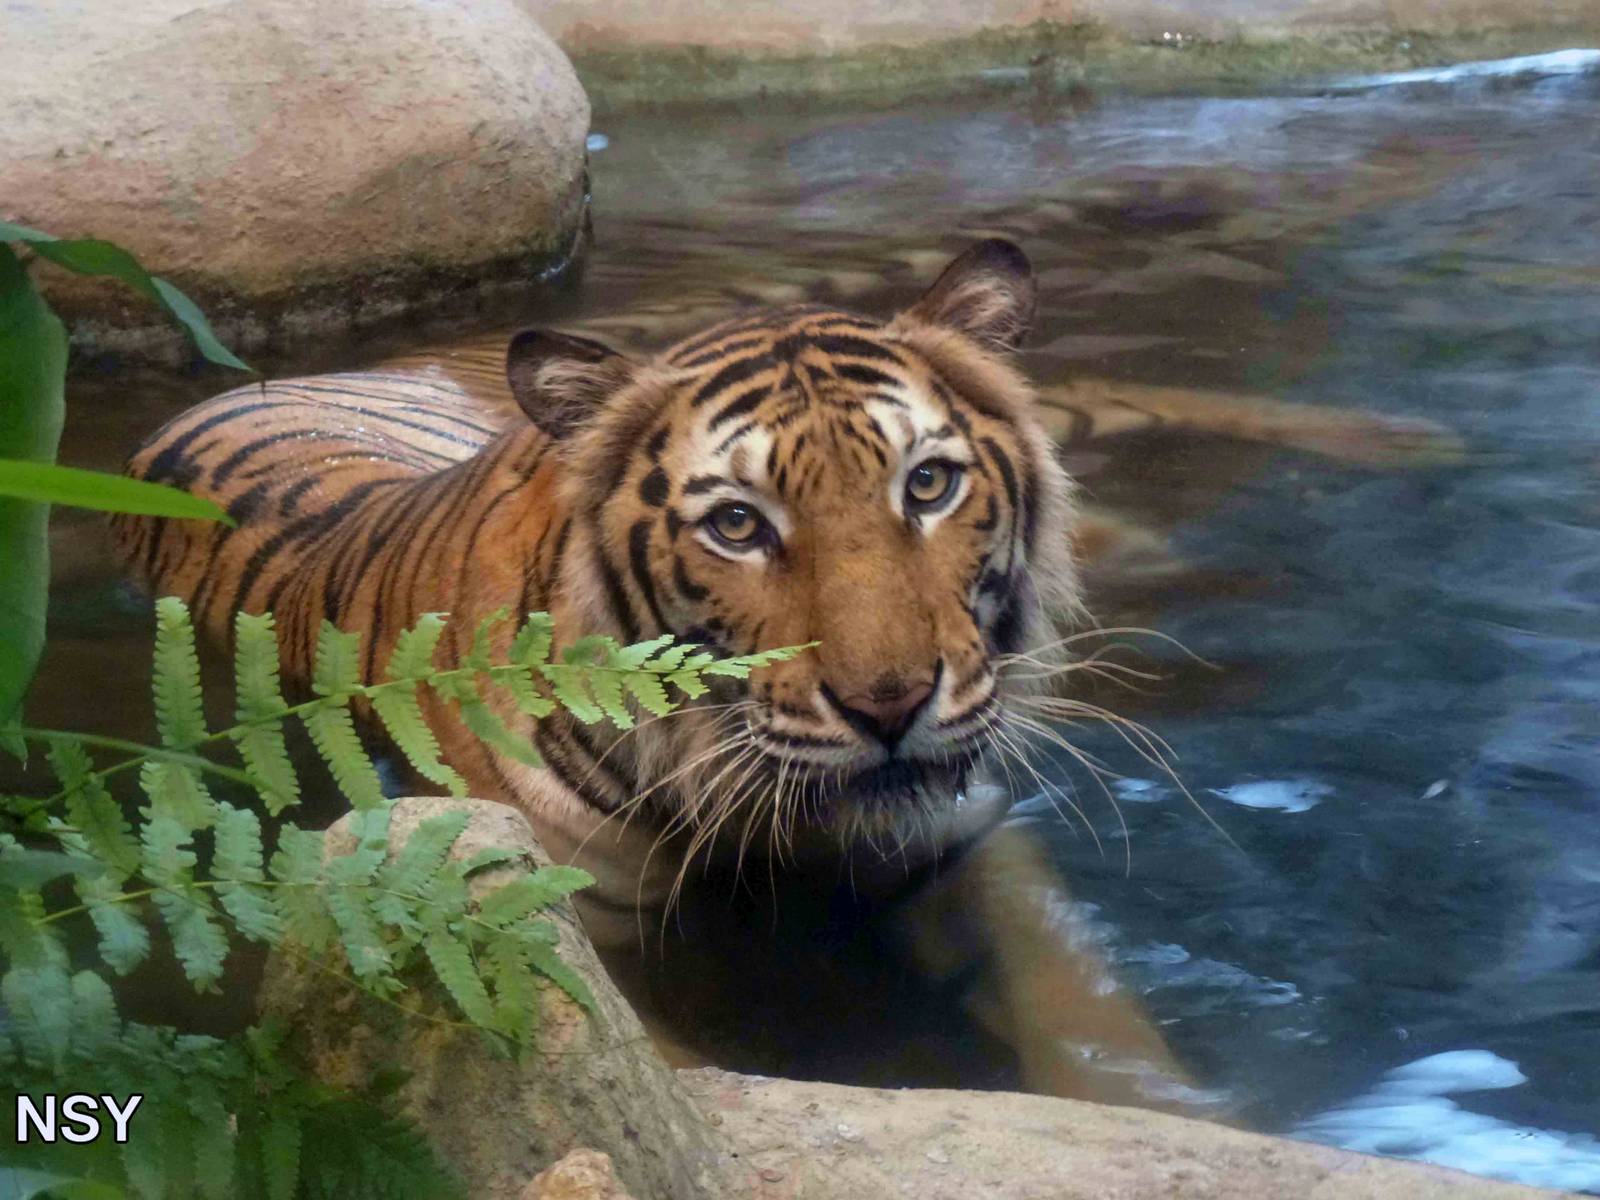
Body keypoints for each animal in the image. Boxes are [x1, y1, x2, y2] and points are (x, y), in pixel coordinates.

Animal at [110, 237, 1446, 1105]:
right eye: (738, 526)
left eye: (927, 484)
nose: (890, 704)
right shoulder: (580, 932)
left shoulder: (962, 841)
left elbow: (1094, 1020)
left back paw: (1403, 437)